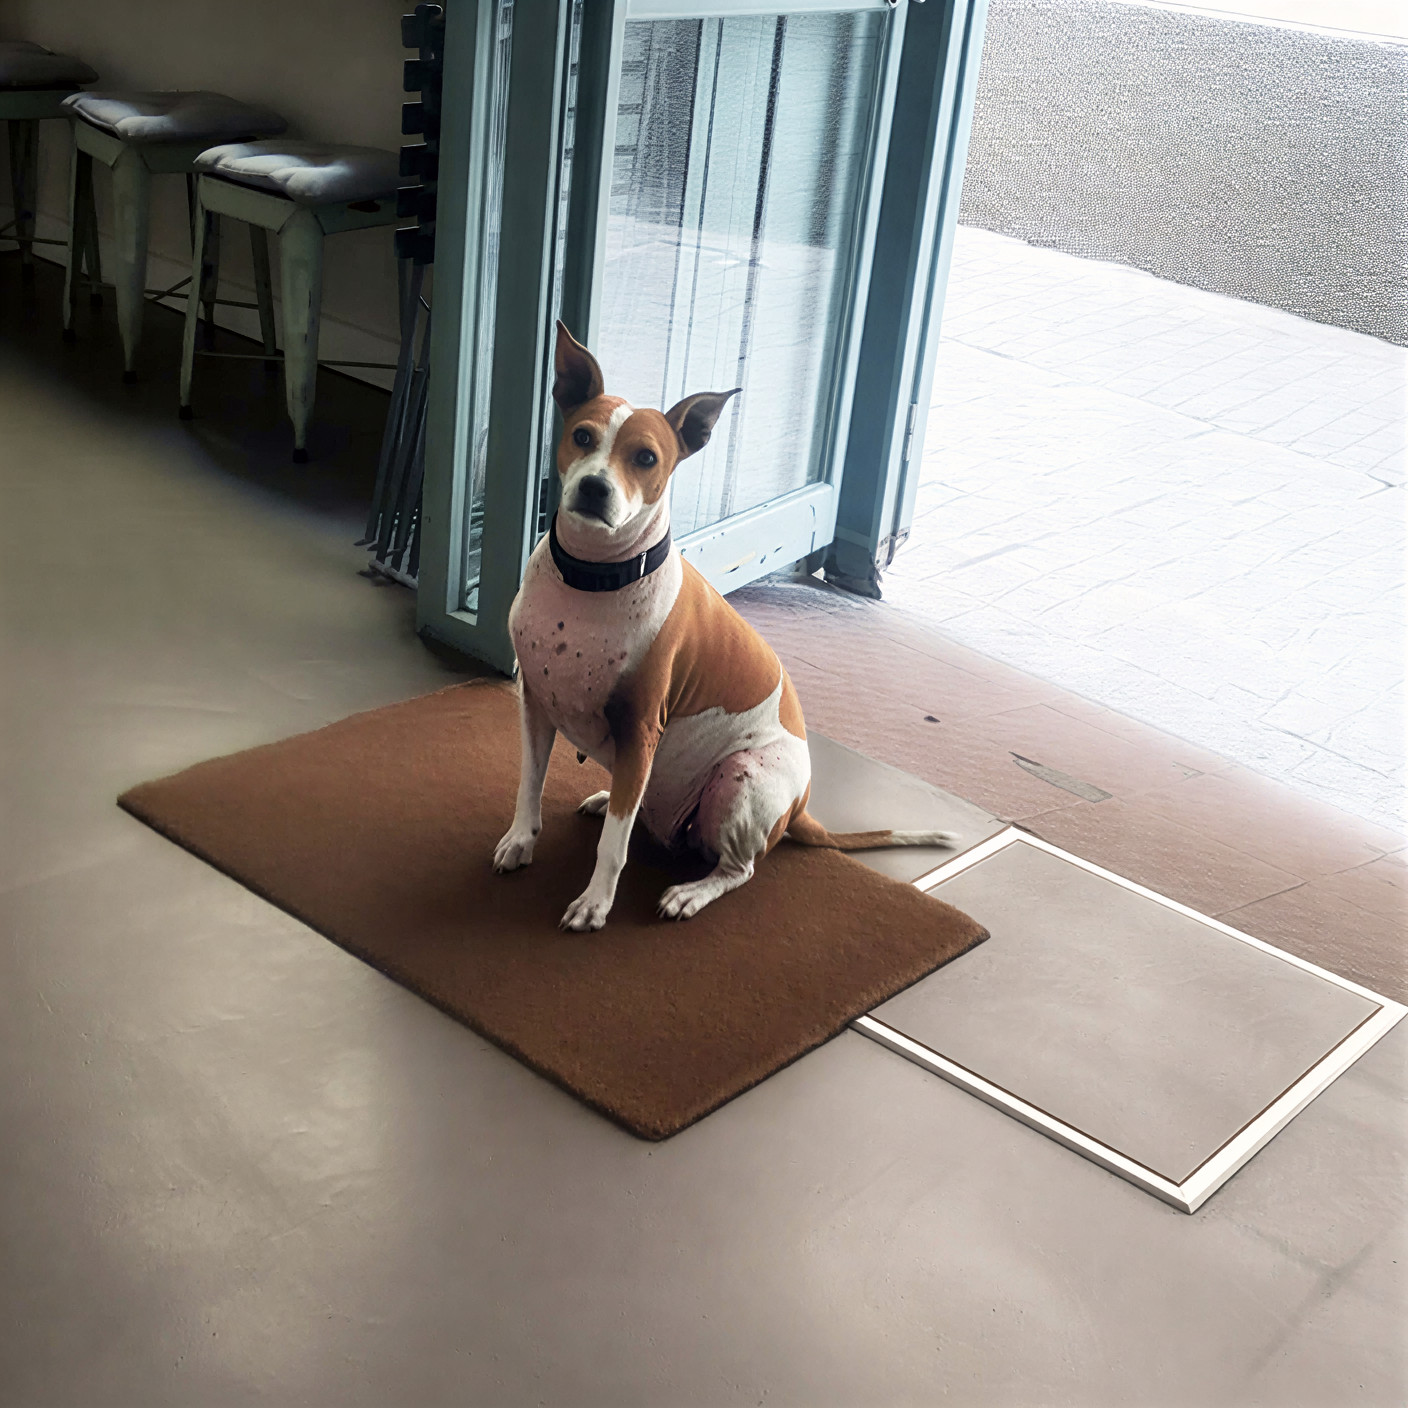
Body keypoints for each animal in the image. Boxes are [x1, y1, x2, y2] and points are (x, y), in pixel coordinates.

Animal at [494, 322, 958, 930]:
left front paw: (596, 903)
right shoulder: (534, 703)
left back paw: (690, 893)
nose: (595, 487)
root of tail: (800, 808)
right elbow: (528, 785)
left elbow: (613, 847)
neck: (593, 581)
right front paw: (521, 841)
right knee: (638, 809)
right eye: (582, 436)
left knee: (739, 868)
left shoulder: (641, 729)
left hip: (740, 778)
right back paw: (606, 799)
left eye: (646, 457)